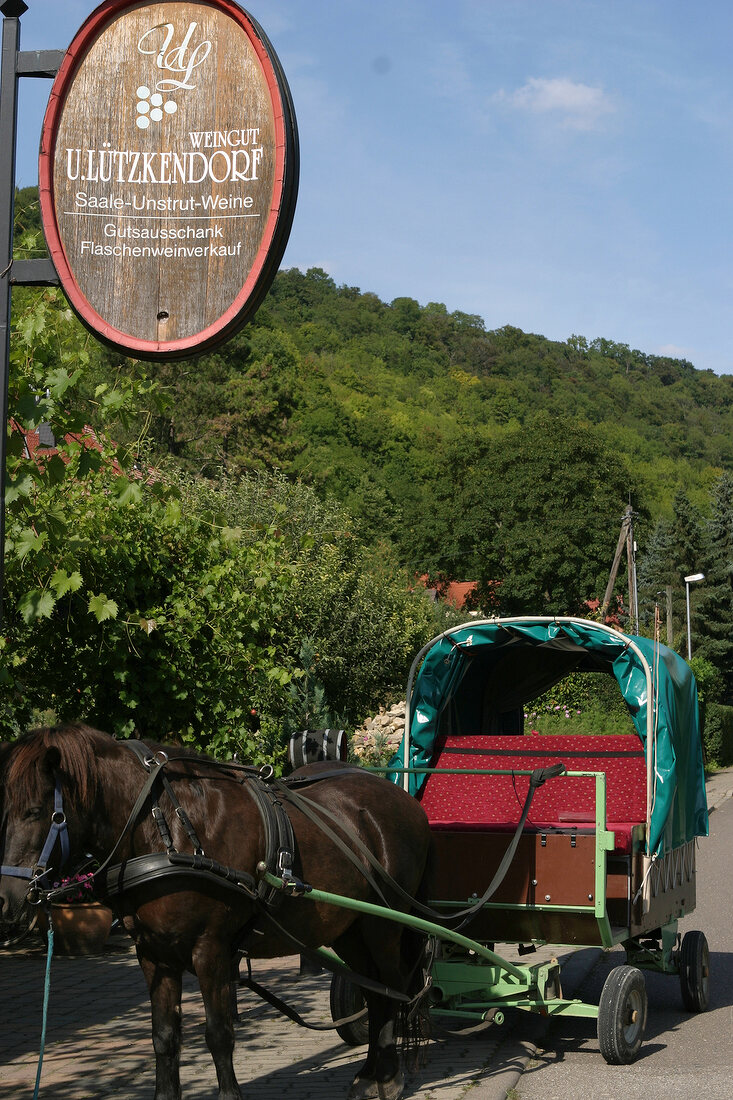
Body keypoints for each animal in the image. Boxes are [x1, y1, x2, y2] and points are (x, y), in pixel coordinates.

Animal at [0, 726, 431, 1095]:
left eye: (39, 811)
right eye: (6, 811)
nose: (5, 899)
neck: (167, 829)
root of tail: (406, 802)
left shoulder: (211, 949)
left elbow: (219, 1034)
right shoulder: (154, 954)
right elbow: (164, 1037)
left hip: (383, 924)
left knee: (390, 990)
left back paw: (387, 1077)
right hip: (349, 930)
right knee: (372, 990)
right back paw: (369, 1073)